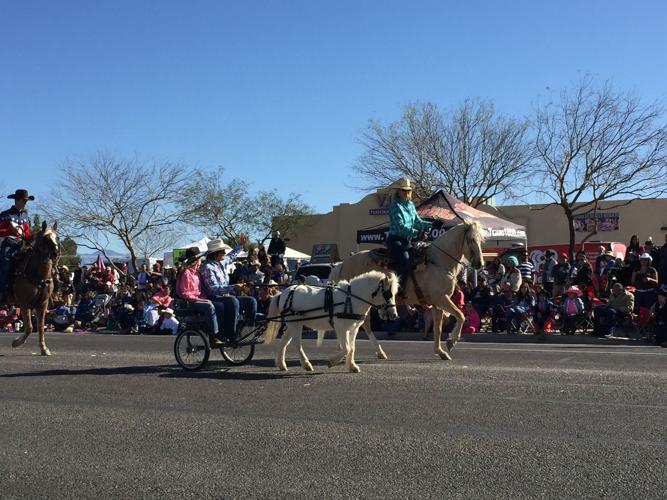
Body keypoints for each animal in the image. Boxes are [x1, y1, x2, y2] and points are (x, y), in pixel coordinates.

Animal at [9, 222, 59, 356]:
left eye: (57, 237)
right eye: (46, 238)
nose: (56, 253)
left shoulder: (42, 304)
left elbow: (40, 327)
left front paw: (44, 349)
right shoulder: (24, 304)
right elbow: (30, 327)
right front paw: (16, 342)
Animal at [264, 272, 402, 374]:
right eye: (388, 294)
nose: (394, 315)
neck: (351, 299)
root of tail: (283, 293)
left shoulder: (353, 329)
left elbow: (352, 348)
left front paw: (352, 366)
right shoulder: (341, 328)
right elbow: (346, 348)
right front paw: (332, 362)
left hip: (293, 324)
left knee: (284, 341)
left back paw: (282, 364)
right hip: (295, 324)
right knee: (296, 343)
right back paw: (306, 364)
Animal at [328, 222, 486, 360]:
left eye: (481, 240)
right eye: (471, 239)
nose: (480, 264)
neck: (439, 262)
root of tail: (343, 265)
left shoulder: (437, 303)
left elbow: (438, 328)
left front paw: (440, 351)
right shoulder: (442, 299)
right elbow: (461, 315)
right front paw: (451, 342)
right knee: (362, 323)